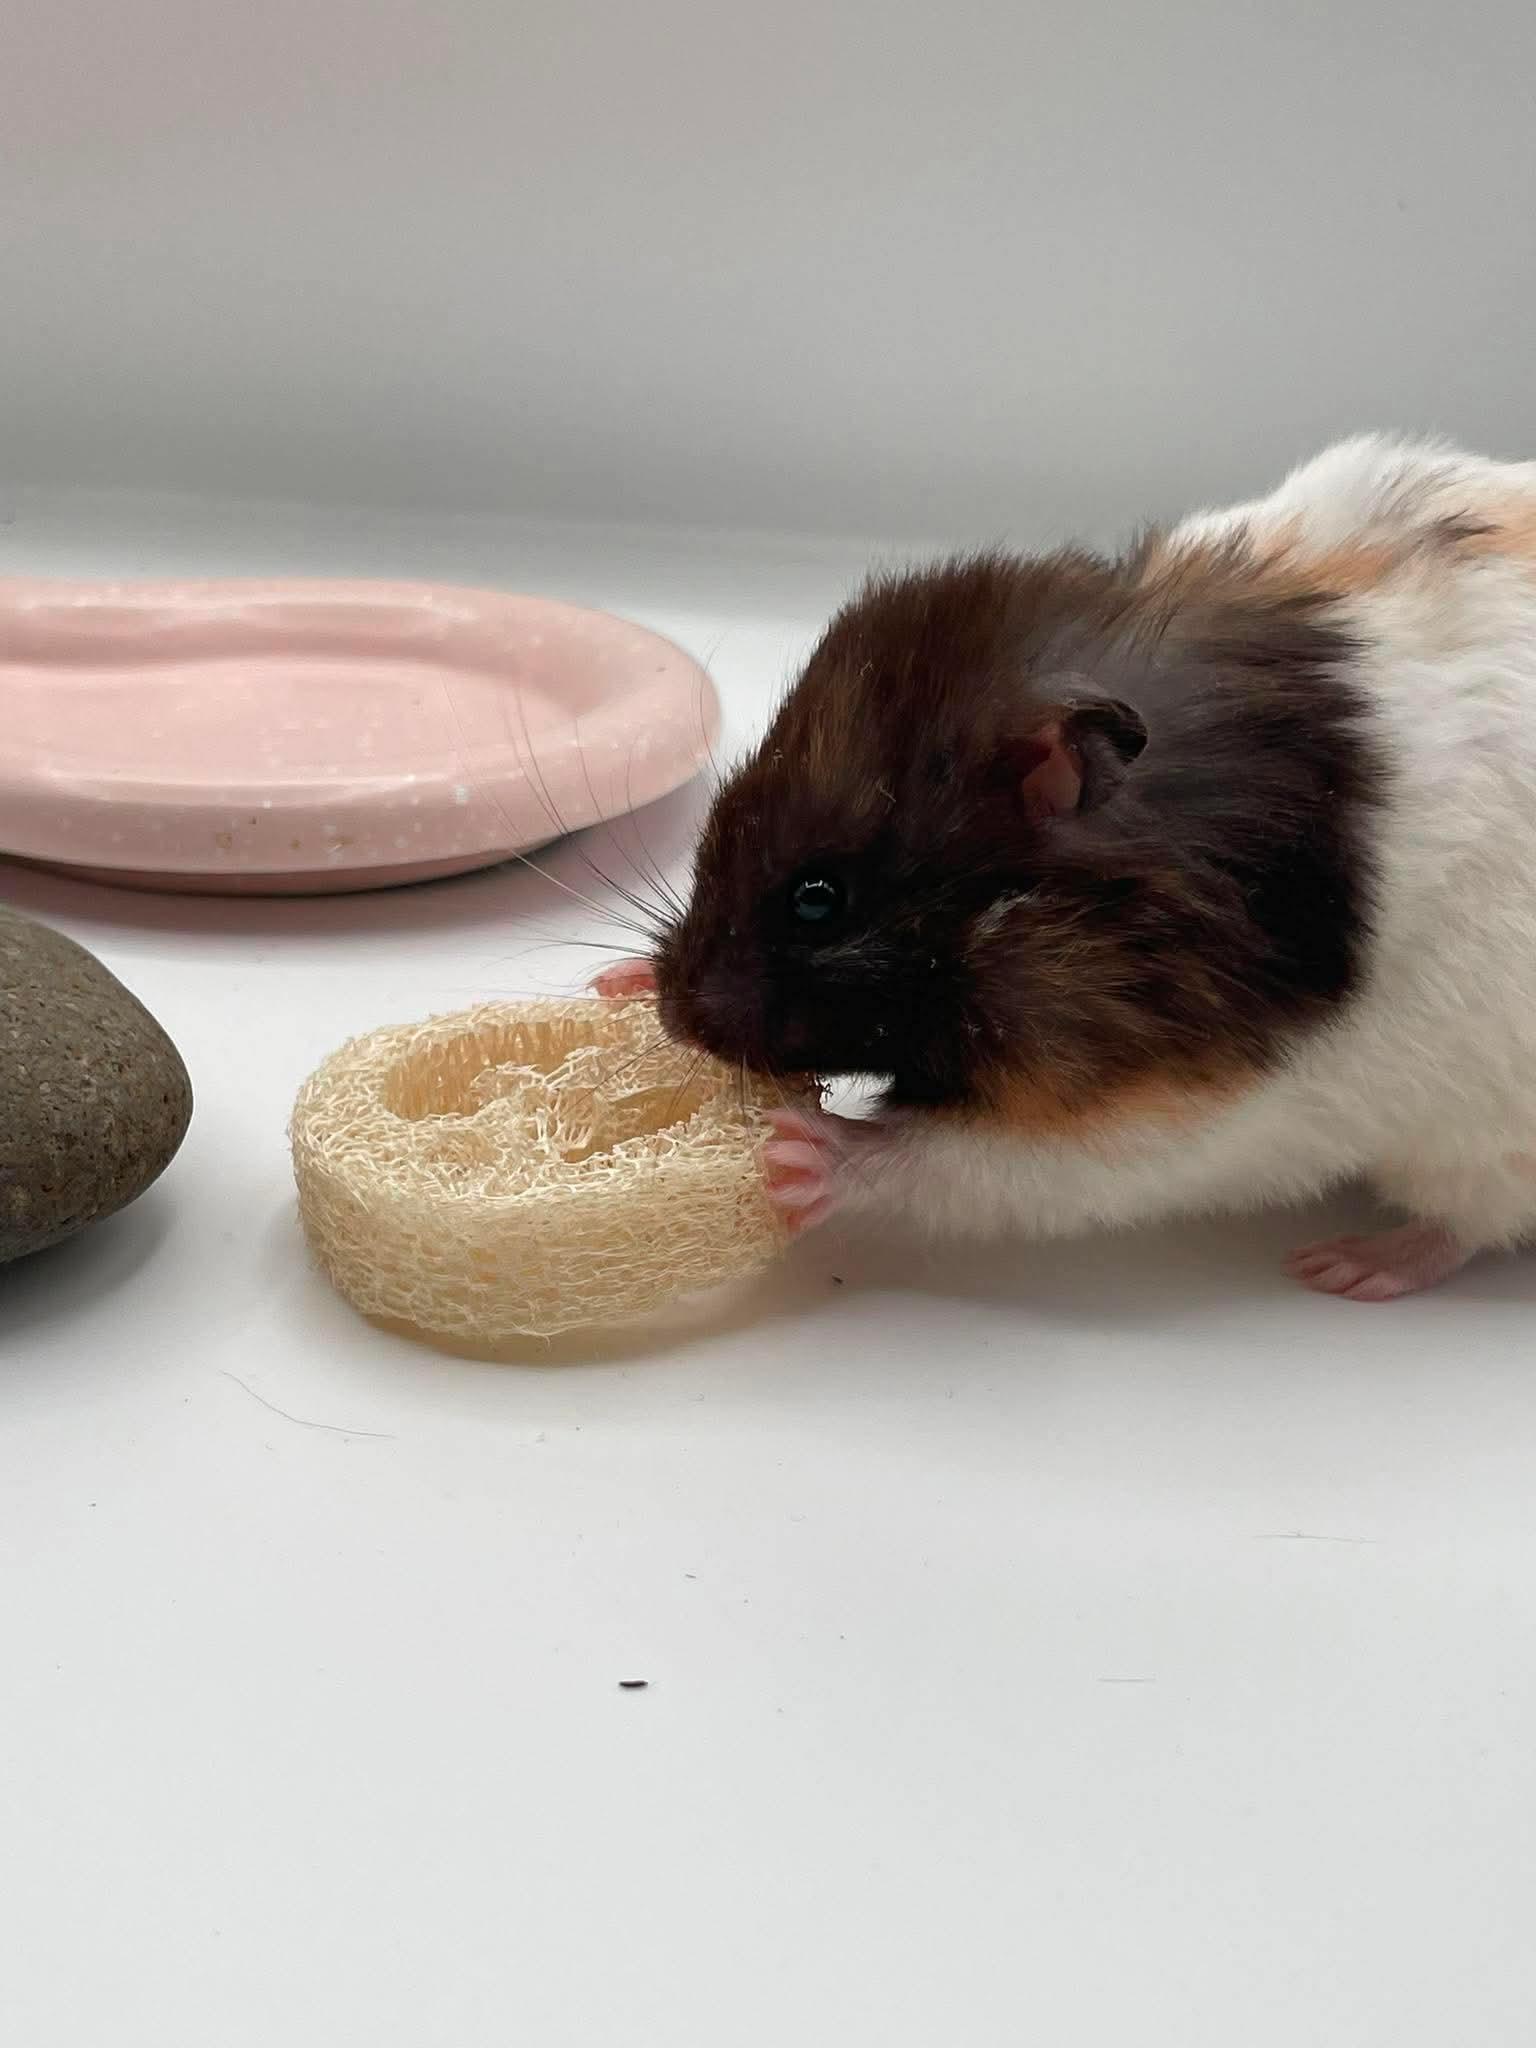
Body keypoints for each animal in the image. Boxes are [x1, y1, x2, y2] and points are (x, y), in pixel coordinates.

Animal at [596, 434, 1536, 1301]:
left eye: (818, 899)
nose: (674, 1015)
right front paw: (619, 983)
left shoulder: (1159, 1114)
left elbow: (959, 1164)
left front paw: (799, 1156)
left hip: (1478, 1149)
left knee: (1463, 1228)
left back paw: (1348, 1268)